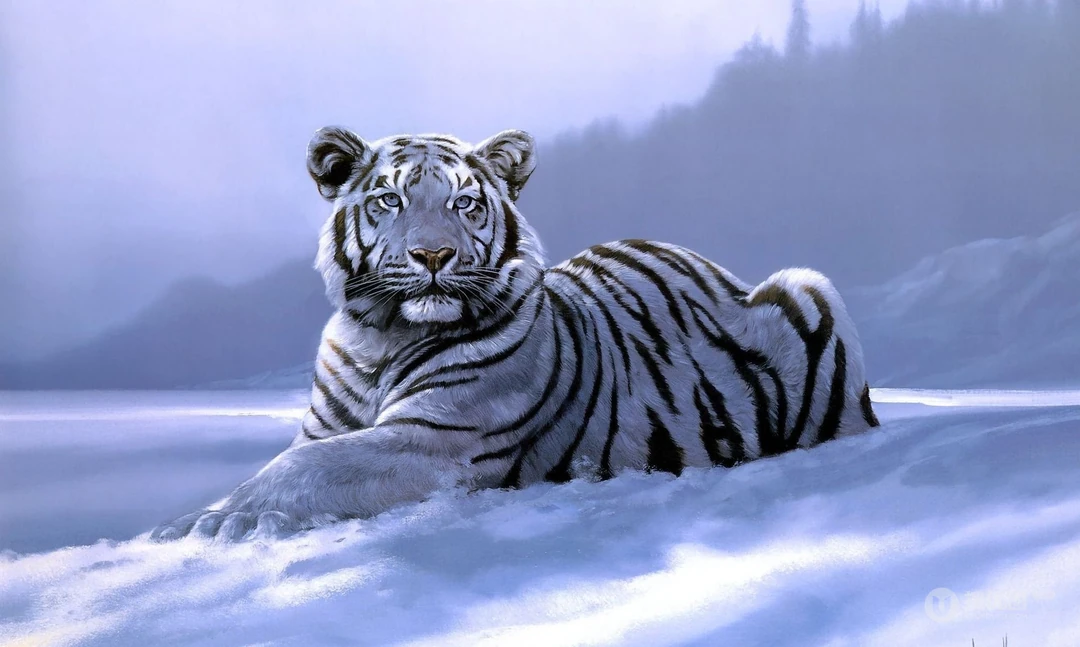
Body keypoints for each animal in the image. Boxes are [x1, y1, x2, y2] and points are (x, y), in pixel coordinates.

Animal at [151, 126, 880, 542]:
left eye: (465, 203)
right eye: (389, 199)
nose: (433, 255)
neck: (380, 337)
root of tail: (714, 265)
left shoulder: (436, 438)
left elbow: (303, 467)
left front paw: (211, 520)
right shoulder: (327, 425)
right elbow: (296, 456)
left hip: (810, 287)